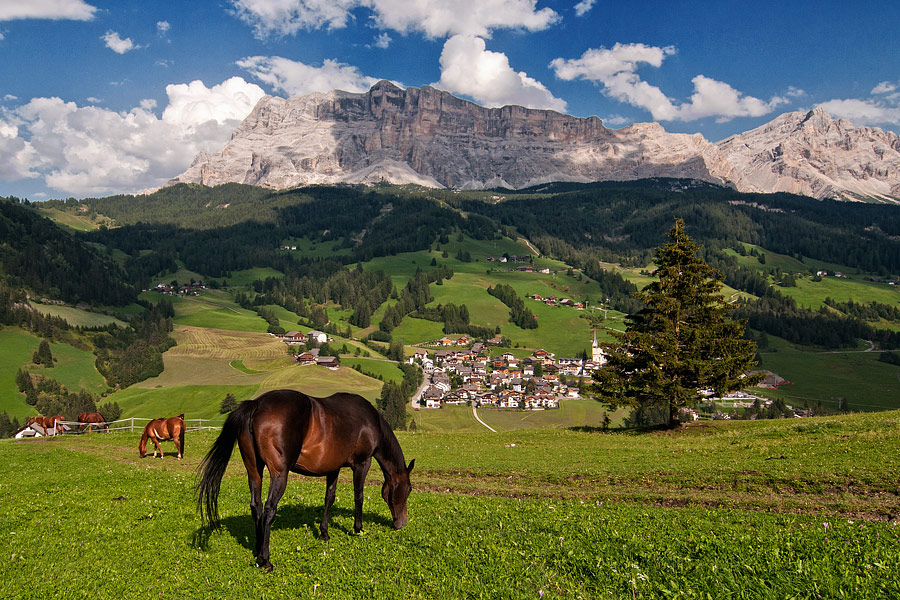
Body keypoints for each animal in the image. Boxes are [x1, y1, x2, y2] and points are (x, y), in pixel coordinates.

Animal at [197, 390, 414, 572]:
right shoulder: (363, 463)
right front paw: (358, 529)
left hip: (254, 471)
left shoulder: (333, 468)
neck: (369, 420)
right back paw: (266, 559)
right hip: (279, 474)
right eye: (409, 489)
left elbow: (329, 498)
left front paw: (324, 533)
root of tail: (256, 404)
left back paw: (258, 550)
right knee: (269, 509)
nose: (402, 523)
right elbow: (358, 497)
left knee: (256, 507)